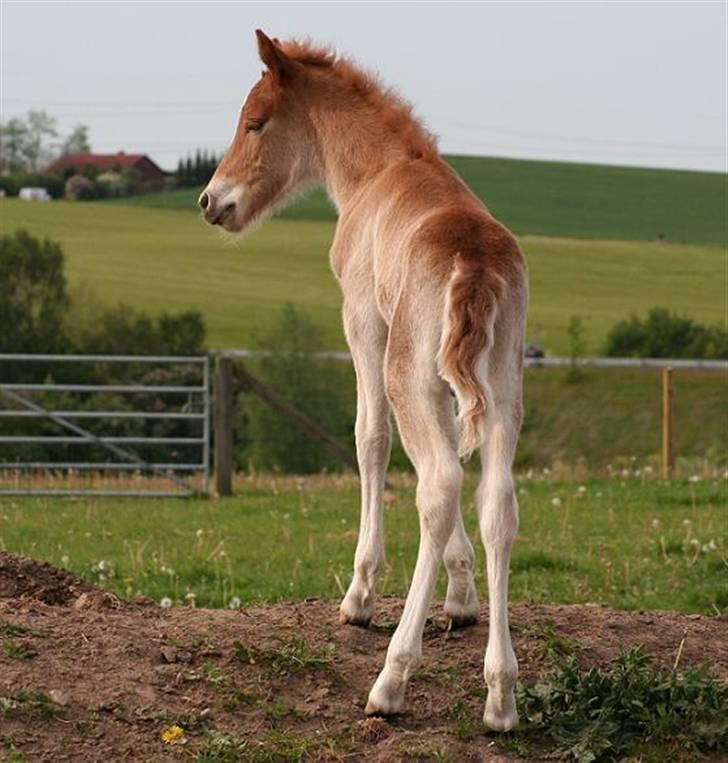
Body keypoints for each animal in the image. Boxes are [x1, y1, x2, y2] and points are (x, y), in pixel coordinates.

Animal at [202, 31, 528, 736]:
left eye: (256, 122)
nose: (209, 202)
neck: (381, 170)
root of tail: (473, 261)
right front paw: (462, 598)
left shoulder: (363, 322)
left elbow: (371, 438)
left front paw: (360, 595)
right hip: (502, 390)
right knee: (495, 501)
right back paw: (500, 697)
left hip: (410, 373)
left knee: (437, 484)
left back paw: (392, 680)